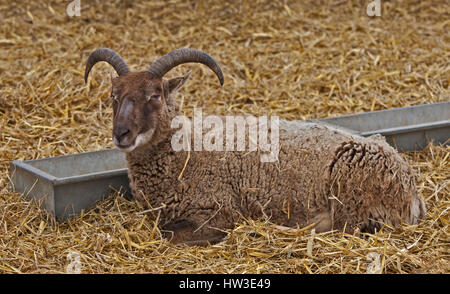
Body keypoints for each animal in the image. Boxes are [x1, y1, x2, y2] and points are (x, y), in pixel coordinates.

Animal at [83, 48, 426, 246]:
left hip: (348, 197)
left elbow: (170, 234)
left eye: (154, 95)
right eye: (114, 96)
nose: (121, 134)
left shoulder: (218, 213)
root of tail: (411, 189)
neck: (184, 156)